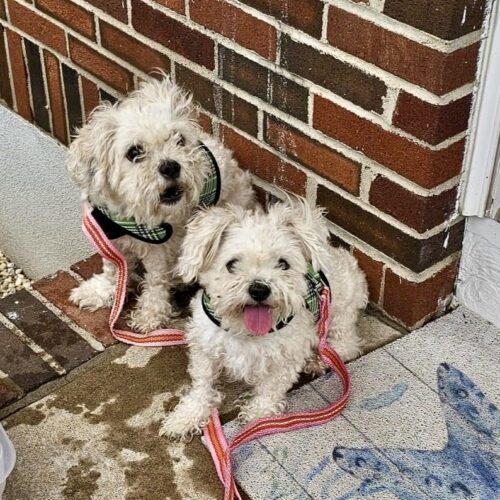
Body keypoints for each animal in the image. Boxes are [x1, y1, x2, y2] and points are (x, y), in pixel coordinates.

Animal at [66, 77, 254, 332]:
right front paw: (102, 291)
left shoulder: (160, 249)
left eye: (179, 140)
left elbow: (156, 281)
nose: (170, 166)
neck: (129, 217)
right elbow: (113, 269)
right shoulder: (108, 236)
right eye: (135, 152)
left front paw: (151, 314)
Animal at [160, 197, 368, 440]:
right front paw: (187, 416)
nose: (259, 289)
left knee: (345, 346)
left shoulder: (286, 357)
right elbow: (202, 385)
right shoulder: (205, 347)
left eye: (283, 264)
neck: (245, 332)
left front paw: (259, 415)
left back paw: (316, 360)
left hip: (340, 315)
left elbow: (271, 388)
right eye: (232, 264)